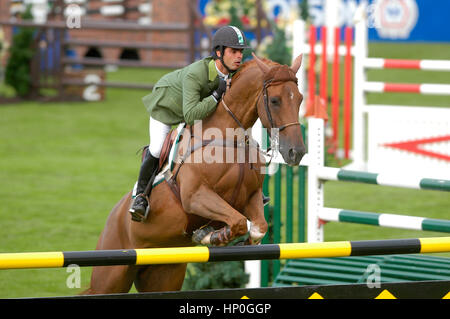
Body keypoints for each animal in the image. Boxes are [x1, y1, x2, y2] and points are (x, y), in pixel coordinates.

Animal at [82, 54, 304, 296]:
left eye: (300, 99)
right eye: (274, 101)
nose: (297, 152)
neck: (229, 136)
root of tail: (114, 215)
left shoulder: (251, 196)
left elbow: (257, 227)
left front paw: (213, 234)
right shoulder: (195, 196)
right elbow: (238, 221)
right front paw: (212, 235)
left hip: (164, 274)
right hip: (112, 274)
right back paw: (139, 205)